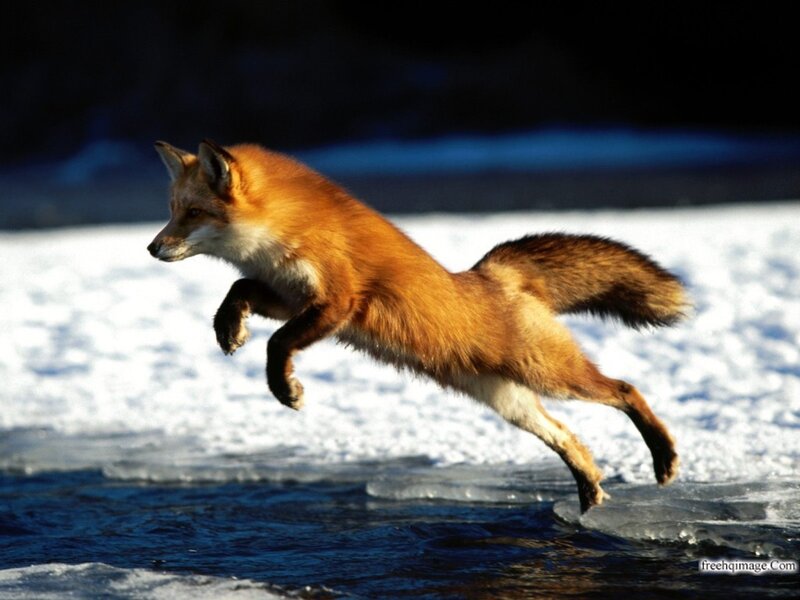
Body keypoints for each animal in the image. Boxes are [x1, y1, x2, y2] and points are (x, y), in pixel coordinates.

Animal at [148, 139, 687, 512]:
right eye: (171, 210)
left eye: (193, 213)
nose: (152, 248)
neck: (284, 232)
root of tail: (493, 275)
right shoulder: (287, 296)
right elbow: (238, 289)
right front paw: (228, 329)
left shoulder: (338, 300)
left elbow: (277, 345)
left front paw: (285, 389)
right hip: (510, 401)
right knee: (569, 439)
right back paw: (590, 493)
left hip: (551, 375)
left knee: (626, 389)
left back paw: (663, 458)